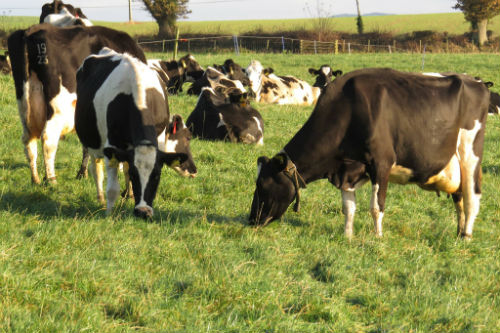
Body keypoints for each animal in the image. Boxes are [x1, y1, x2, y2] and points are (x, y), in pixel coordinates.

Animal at [7, 23, 146, 184]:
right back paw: (51, 180)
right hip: (58, 107)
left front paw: (83, 173)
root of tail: (31, 31)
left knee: (28, 139)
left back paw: (35, 179)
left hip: (25, 104)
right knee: (48, 138)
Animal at [76, 46, 197, 218]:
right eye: (187, 137)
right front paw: (108, 214)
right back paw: (100, 198)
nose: (143, 211)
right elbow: (113, 187)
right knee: (96, 168)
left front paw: (131, 196)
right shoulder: (111, 145)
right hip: (92, 139)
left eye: (157, 175)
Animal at [250, 67, 488, 239]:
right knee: (459, 198)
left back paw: (466, 235)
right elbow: (348, 207)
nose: (251, 219)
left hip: (470, 154)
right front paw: (347, 236)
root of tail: (476, 81)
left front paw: (378, 238)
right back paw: (458, 232)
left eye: (262, 184)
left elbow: (376, 206)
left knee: (472, 196)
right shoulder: (346, 171)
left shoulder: (381, 162)